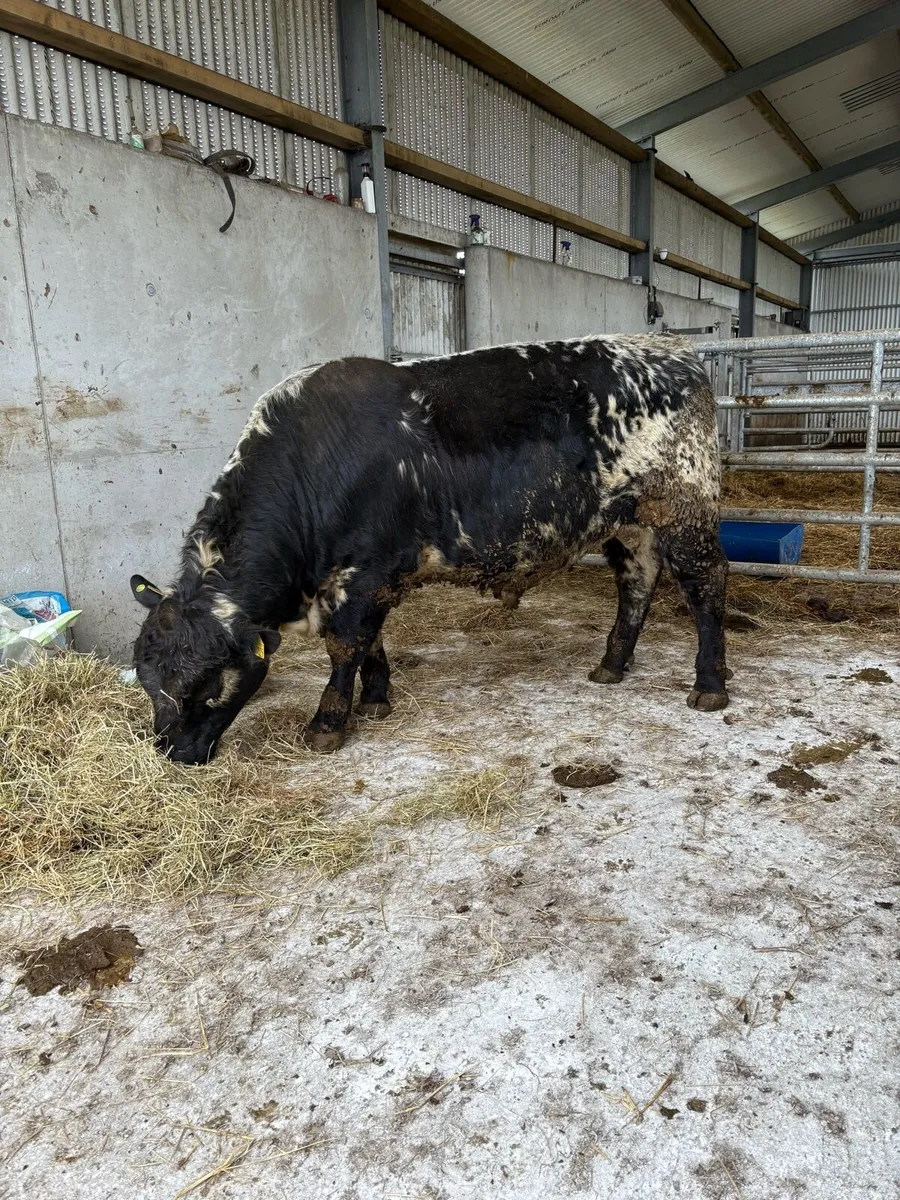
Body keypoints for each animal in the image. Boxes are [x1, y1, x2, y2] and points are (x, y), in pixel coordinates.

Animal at [131, 334, 729, 765]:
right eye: (147, 683)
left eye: (209, 690)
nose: (172, 755)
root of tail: (672, 349)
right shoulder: (359, 582)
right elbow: (369, 643)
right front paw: (375, 697)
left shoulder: (362, 575)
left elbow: (345, 646)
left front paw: (327, 723)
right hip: (630, 522)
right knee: (637, 580)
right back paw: (612, 663)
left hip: (685, 510)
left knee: (706, 586)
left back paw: (709, 684)